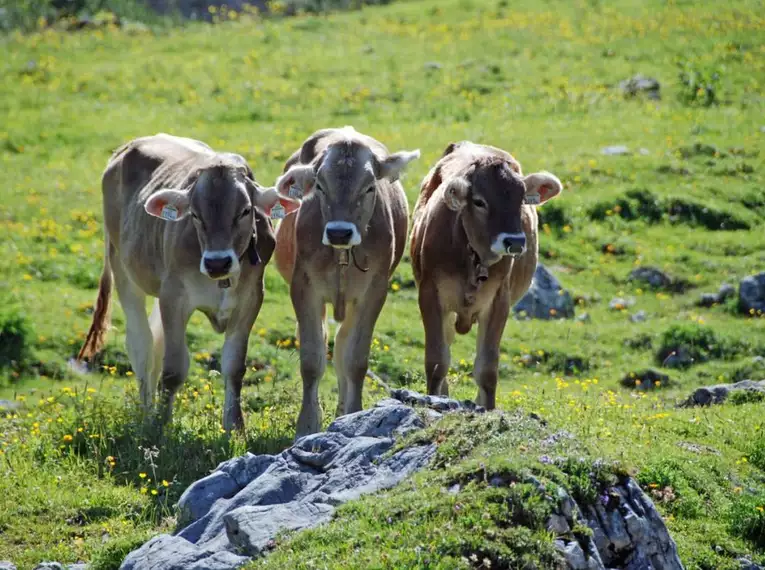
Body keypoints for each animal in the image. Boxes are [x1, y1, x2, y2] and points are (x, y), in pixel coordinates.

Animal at [76, 131, 298, 428]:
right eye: (195, 214)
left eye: (245, 211)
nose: (217, 262)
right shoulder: (175, 297)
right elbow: (173, 369)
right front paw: (160, 425)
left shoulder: (250, 299)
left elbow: (234, 366)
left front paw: (234, 427)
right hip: (123, 269)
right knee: (142, 346)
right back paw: (145, 413)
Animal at [272, 125, 420, 434]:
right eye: (319, 186)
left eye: (369, 187)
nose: (339, 232)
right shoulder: (303, 287)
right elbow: (311, 359)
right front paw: (307, 426)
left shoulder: (374, 291)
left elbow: (355, 360)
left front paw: (353, 414)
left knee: (341, 346)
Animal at [408, 142, 564, 408]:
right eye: (480, 202)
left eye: (522, 200)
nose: (515, 241)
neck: (474, 260)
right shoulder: (430, 294)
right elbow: (437, 361)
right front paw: (433, 398)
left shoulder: (500, 300)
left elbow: (487, 368)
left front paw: (488, 409)